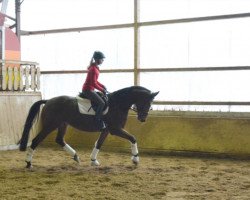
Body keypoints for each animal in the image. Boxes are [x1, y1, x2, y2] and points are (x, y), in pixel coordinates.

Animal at [18, 85, 159, 168]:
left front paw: (93, 160)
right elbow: (133, 138)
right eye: (146, 102)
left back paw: (76, 156)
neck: (118, 104)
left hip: (62, 124)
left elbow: (99, 144)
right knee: (36, 141)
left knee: (59, 139)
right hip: (50, 125)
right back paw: (28, 162)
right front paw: (135, 159)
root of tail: (48, 101)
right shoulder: (115, 129)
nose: (143, 119)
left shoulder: (107, 130)